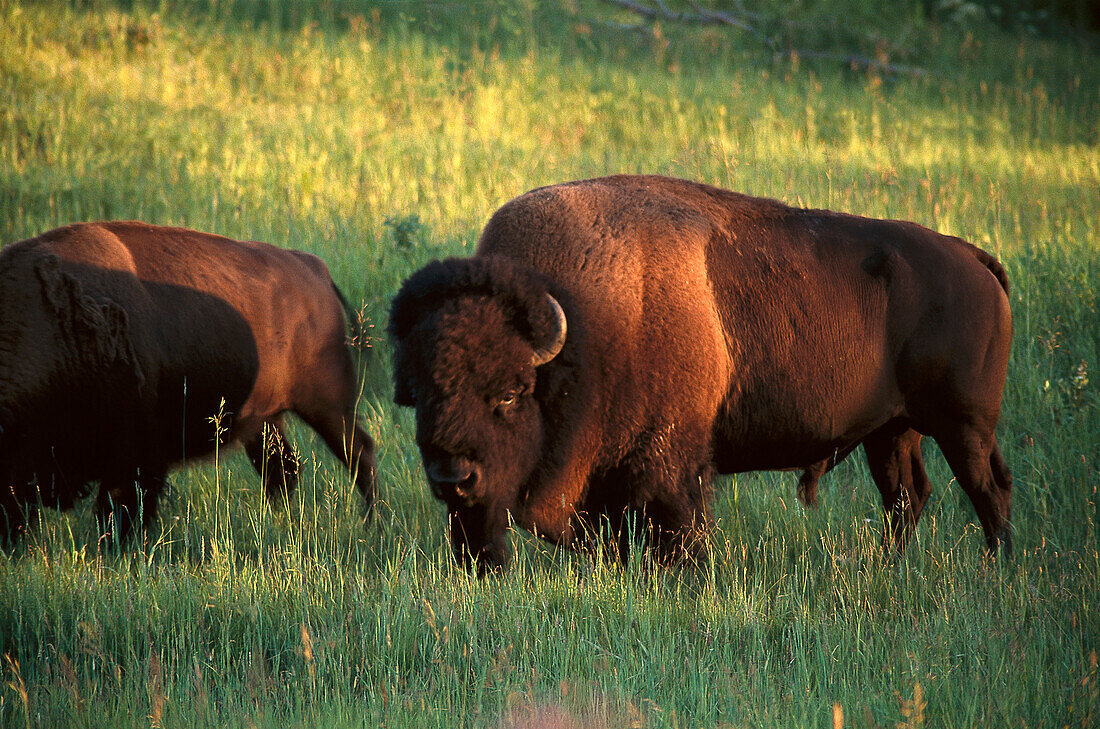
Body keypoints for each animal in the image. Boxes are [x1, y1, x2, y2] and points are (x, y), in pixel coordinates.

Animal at [0, 219, 376, 545]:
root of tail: (316, 270)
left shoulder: (136, 459)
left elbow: (122, 510)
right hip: (266, 419)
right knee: (282, 468)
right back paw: (276, 522)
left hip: (329, 407)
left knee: (359, 453)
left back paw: (373, 524)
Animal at [387, 175, 1012, 571]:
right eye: (419, 393)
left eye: (512, 393)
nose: (452, 477)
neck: (586, 329)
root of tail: (970, 256)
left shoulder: (673, 463)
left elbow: (678, 532)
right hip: (892, 431)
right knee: (908, 496)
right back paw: (888, 567)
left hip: (963, 425)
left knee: (987, 488)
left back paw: (997, 568)